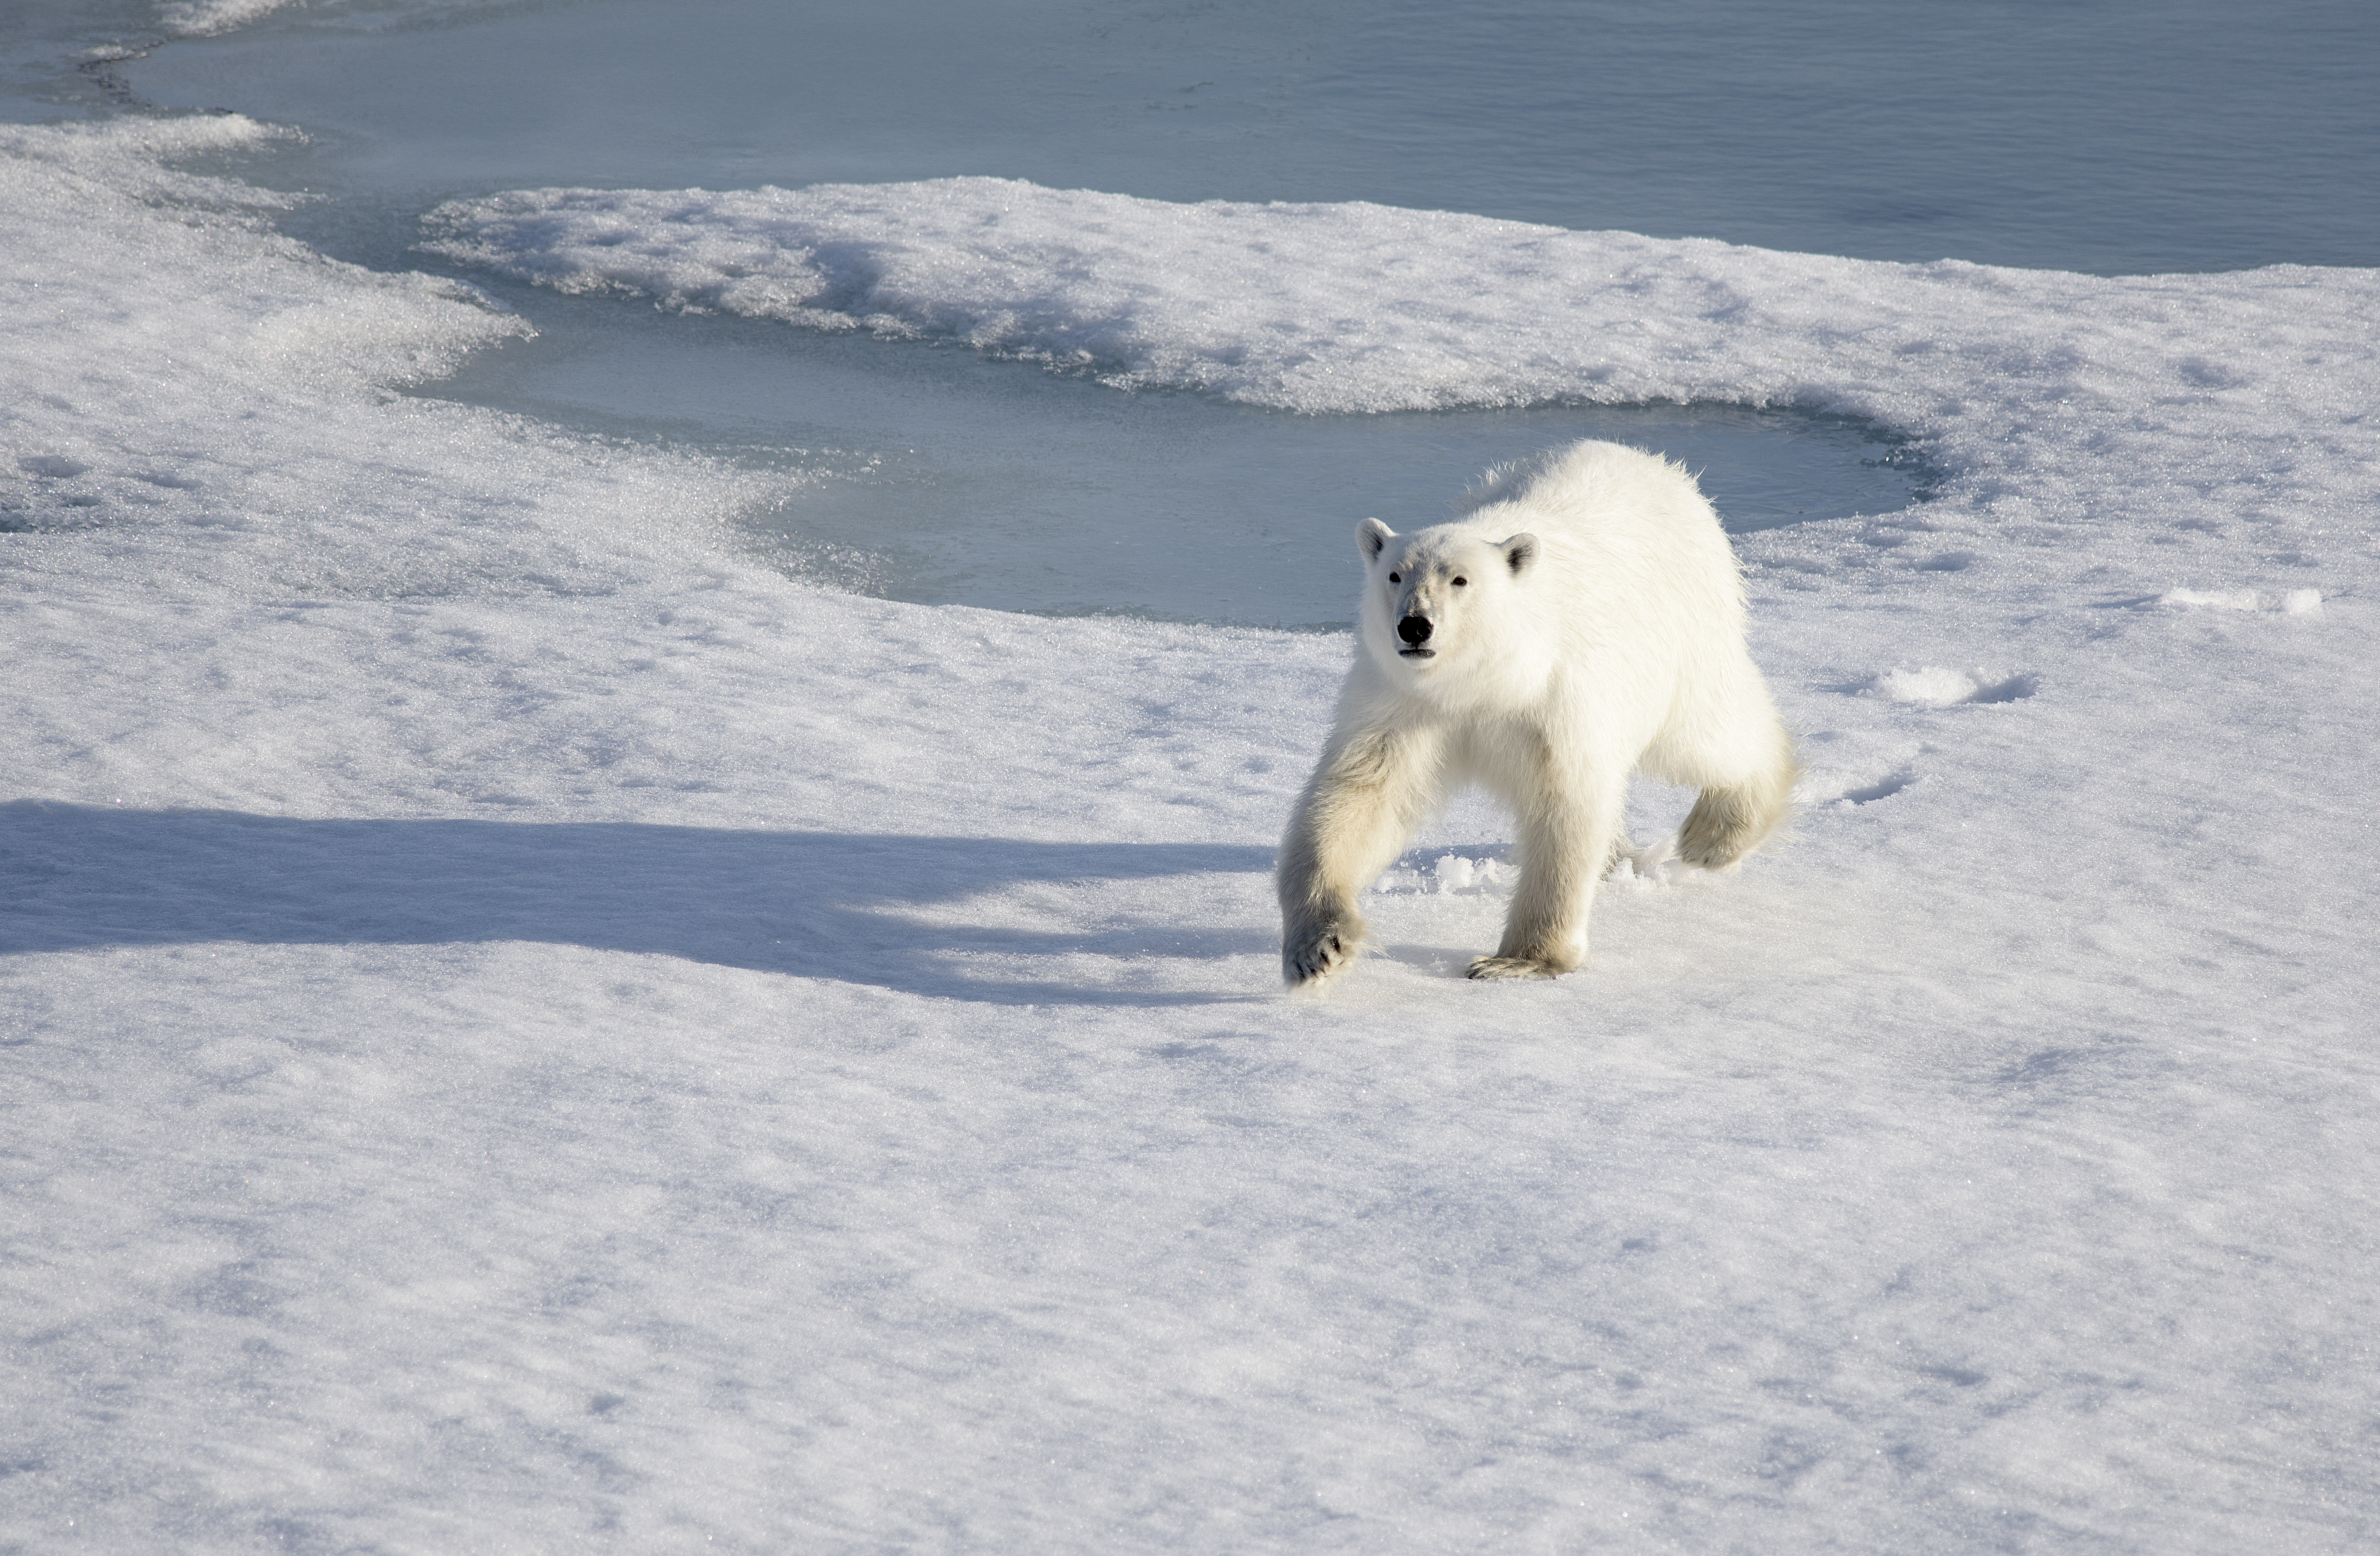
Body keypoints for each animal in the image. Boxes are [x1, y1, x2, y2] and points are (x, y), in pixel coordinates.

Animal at [1276, 439, 1798, 985]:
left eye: (1460, 579)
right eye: (1395, 574)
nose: (1415, 626)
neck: (1486, 678)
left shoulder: (1556, 696)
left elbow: (1565, 803)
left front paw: (1517, 960)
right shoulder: (1404, 703)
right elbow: (1360, 796)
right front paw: (1319, 947)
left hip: (1684, 631)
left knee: (1707, 734)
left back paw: (1717, 834)